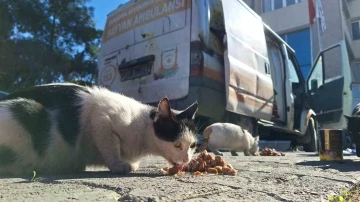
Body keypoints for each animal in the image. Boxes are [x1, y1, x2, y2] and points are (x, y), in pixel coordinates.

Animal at [0, 83, 200, 176]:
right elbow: (110, 148)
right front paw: (118, 165)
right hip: (27, 110)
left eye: (192, 146)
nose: (186, 159)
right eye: (176, 144)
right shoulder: (101, 119)